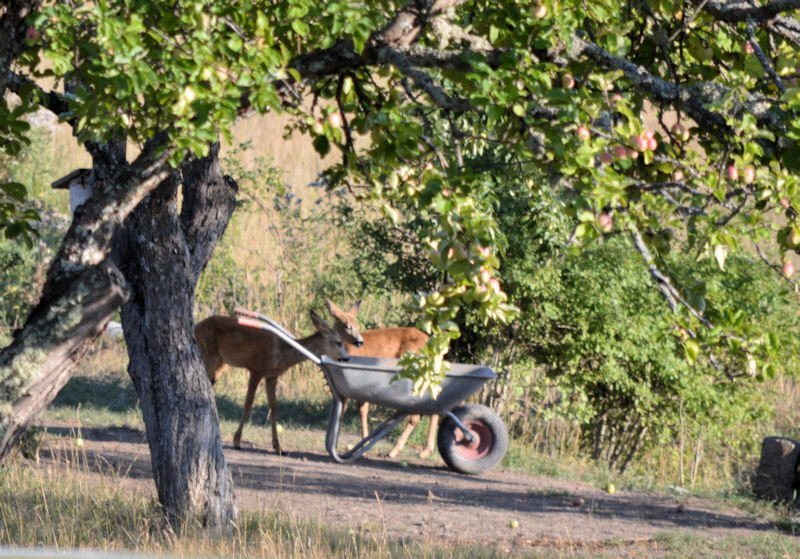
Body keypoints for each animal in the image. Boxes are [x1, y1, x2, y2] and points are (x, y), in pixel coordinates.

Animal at [195, 310, 348, 456]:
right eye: (338, 342)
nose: (347, 358)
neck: (282, 354)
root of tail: (195, 327)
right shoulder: (256, 369)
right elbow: (249, 402)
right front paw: (237, 441)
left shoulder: (272, 376)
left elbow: (273, 406)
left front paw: (278, 447)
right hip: (209, 357)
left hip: (220, 365)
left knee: (209, 386)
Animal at [326, 300, 438, 458]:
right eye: (344, 324)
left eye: (355, 325)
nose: (359, 341)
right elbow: (358, 408)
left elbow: (350, 408)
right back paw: (425, 450)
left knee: (416, 413)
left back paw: (394, 451)